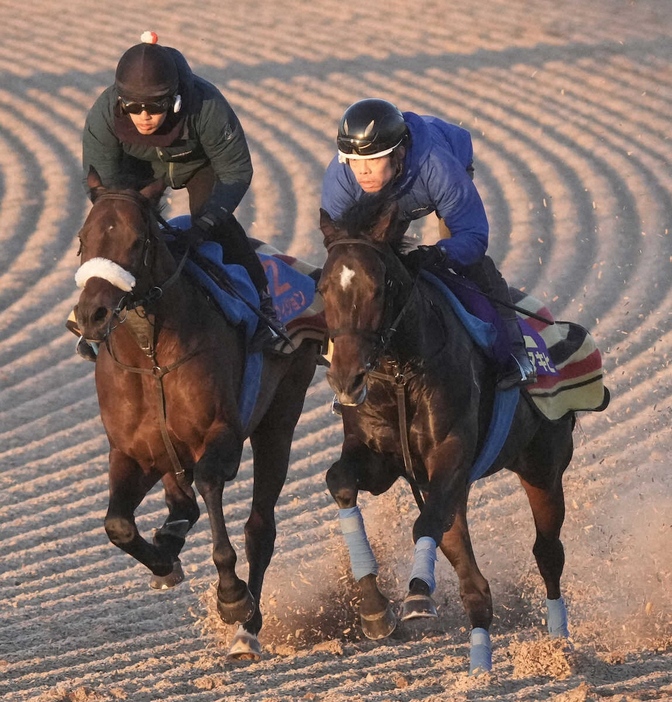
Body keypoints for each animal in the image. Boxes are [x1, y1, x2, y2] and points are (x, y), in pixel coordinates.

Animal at [318, 197, 576, 676]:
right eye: (323, 287)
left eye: (379, 287)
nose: (346, 379)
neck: (401, 375)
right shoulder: (380, 460)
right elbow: (340, 481)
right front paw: (374, 608)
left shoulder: (451, 455)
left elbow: (424, 523)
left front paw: (418, 595)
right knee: (475, 582)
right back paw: (480, 664)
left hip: (544, 468)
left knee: (548, 553)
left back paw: (559, 646)